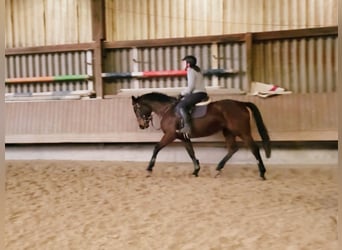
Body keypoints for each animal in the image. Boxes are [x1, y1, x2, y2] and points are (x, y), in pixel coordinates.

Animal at [130, 93, 270, 179]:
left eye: (136, 109)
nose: (142, 125)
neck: (168, 110)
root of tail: (240, 103)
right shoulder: (184, 138)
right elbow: (191, 152)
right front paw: (196, 170)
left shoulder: (170, 135)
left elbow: (157, 148)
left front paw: (149, 169)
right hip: (228, 132)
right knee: (233, 149)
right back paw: (218, 169)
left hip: (242, 132)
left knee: (254, 148)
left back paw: (262, 172)